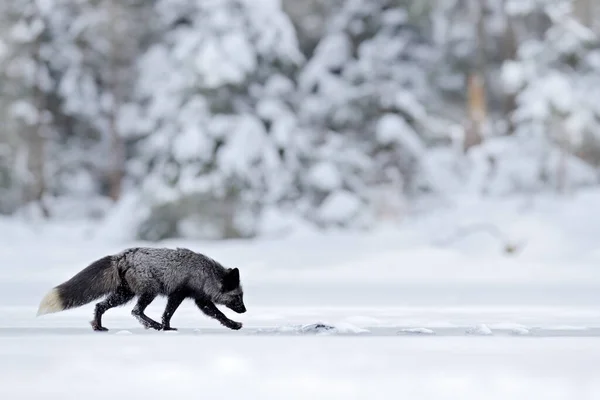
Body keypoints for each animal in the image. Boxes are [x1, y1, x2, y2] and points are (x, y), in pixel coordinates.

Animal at [35, 247, 246, 332]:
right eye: (238, 297)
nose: (244, 310)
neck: (204, 274)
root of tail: (121, 256)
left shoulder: (196, 298)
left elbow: (215, 314)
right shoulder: (181, 294)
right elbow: (217, 314)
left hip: (124, 294)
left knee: (100, 306)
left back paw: (99, 327)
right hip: (148, 293)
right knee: (136, 311)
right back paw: (154, 325)